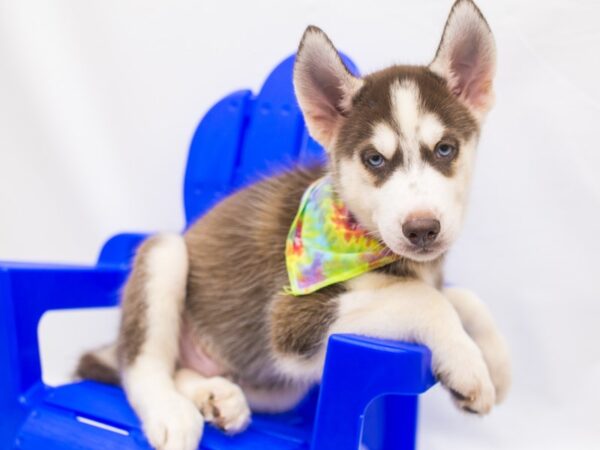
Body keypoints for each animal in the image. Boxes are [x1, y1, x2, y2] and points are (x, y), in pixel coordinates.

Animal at [77, 1, 510, 448]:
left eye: (445, 149)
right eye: (374, 159)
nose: (422, 229)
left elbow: (460, 297)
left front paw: (497, 362)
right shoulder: (288, 318)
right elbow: (422, 298)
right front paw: (469, 365)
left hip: (278, 387)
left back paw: (216, 397)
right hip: (166, 257)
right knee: (141, 366)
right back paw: (172, 412)